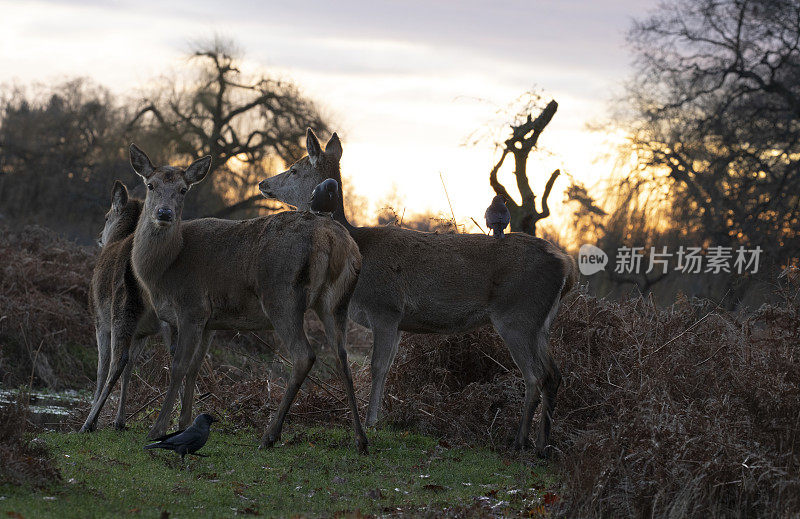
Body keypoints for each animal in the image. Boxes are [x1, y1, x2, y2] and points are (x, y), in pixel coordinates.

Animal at [129, 144, 368, 452]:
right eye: (151, 185)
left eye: (183, 189)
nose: (164, 212)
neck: (165, 270)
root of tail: (334, 240)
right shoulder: (210, 321)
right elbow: (195, 367)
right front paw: (184, 422)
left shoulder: (192, 307)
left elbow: (179, 366)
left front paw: (158, 429)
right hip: (337, 302)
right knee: (342, 356)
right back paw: (361, 439)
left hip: (282, 297)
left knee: (304, 355)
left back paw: (270, 435)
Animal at [260, 129, 580, 456]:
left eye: (294, 169)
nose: (263, 183)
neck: (360, 251)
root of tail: (567, 266)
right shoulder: (399, 321)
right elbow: (388, 366)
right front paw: (379, 418)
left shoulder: (384, 307)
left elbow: (376, 367)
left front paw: (371, 421)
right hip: (540, 322)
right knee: (554, 374)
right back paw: (542, 444)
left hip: (517, 315)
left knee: (535, 375)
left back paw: (520, 441)